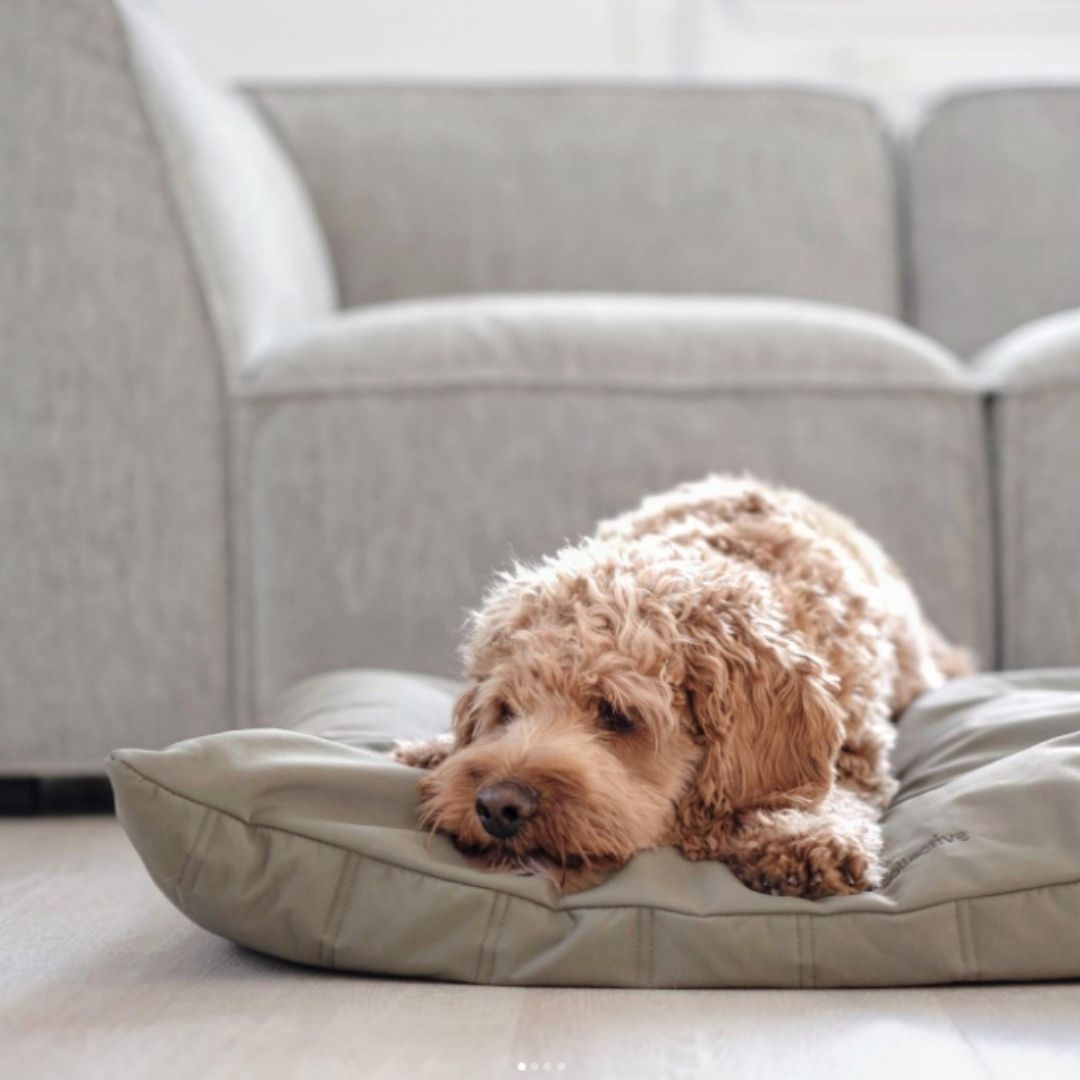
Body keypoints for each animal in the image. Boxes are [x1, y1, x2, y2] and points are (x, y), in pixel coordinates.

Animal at [393, 477, 976, 898]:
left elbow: (829, 796)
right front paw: (430, 750)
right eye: (505, 710)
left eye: (617, 715)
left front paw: (801, 838)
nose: (498, 806)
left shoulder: (858, 757)